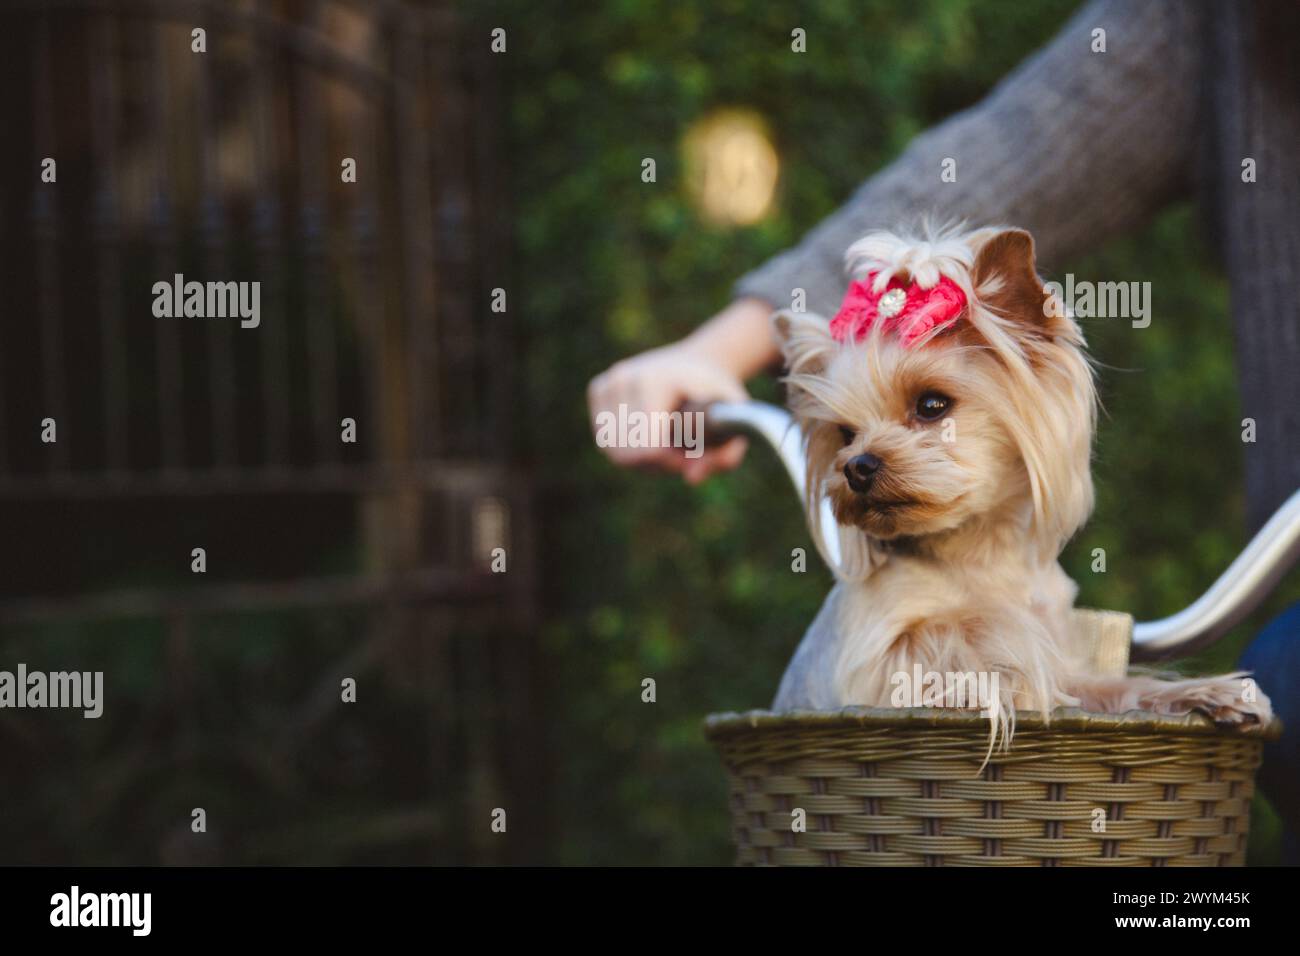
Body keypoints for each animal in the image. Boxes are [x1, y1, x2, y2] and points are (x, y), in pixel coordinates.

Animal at [769, 226, 1268, 749]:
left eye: (932, 404)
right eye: (844, 434)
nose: (857, 466)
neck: (979, 551)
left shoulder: (1074, 671)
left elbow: (1110, 686)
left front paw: (1211, 693)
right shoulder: (874, 660)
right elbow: (957, 632)